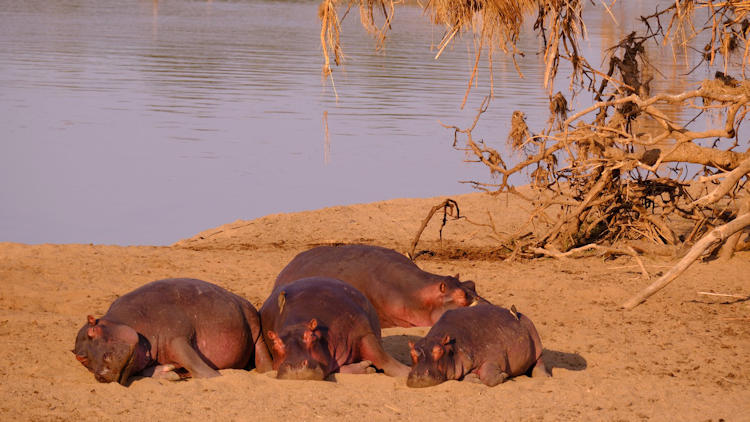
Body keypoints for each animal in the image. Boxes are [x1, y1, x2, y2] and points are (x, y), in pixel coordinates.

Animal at [71, 278, 274, 384]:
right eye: (80, 358)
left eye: (93, 331)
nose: (101, 374)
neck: (122, 320)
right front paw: (172, 372)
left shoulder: (176, 338)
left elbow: (198, 367)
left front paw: (214, 377)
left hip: (254, 327)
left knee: (261, 353)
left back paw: (268, 372)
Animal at [258, 276, 412, 380]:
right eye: (275, 343)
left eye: (311, 336)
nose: (296, 366)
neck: (296, 324)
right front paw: (367, 367)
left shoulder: (363, 331)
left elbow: (384, 358)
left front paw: (407, 372)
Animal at [408, 304, 548, 390]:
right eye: (412, 353)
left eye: (439, 350)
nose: (418, 375)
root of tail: (521, 315)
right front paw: (475, 379)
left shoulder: (493, 356)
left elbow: (488, 375)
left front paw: (504, 375)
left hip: (536, 345)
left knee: (539, 362)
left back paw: (543, 376)